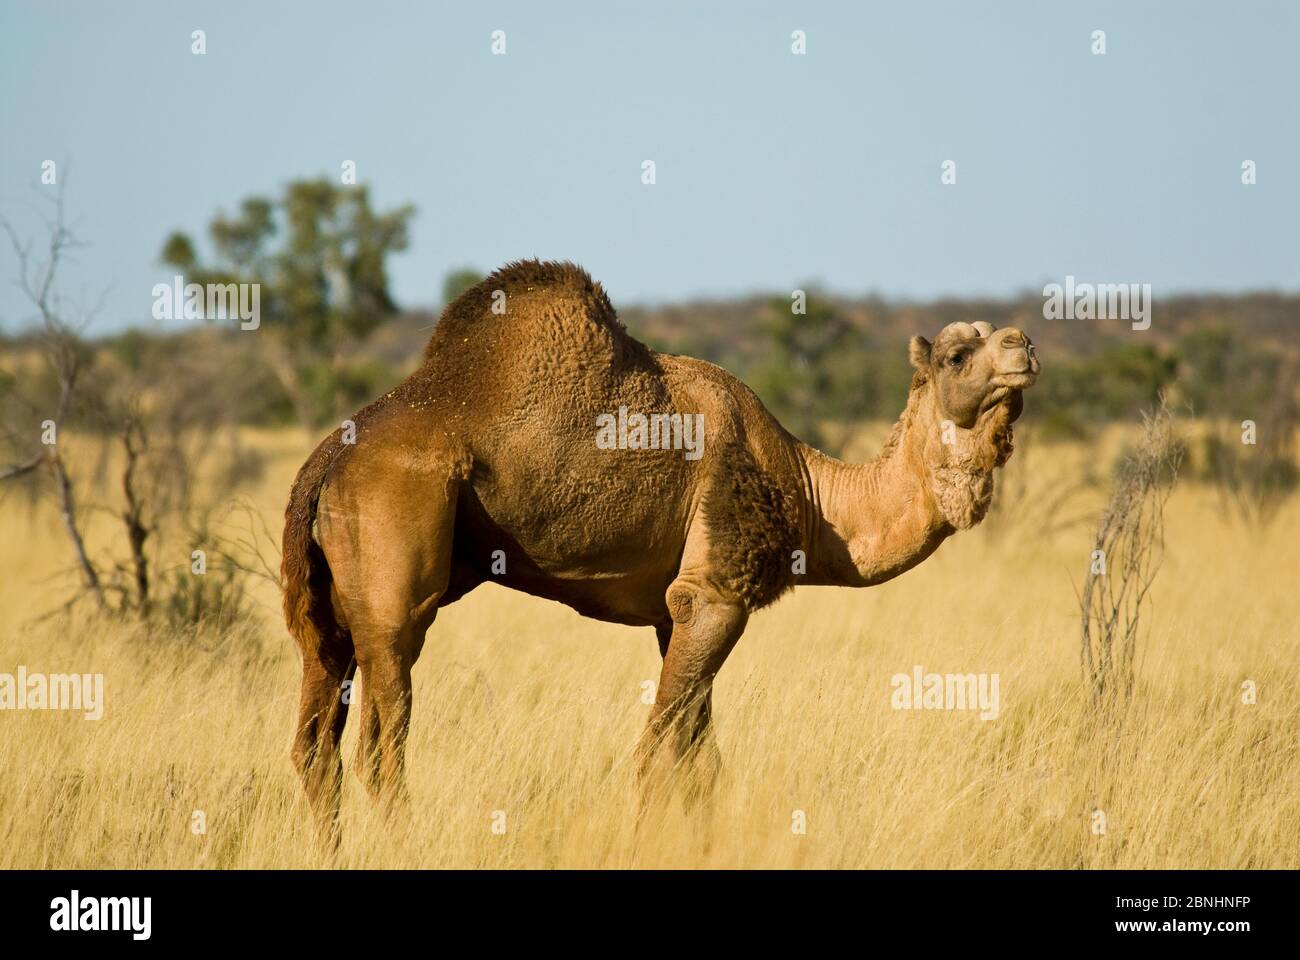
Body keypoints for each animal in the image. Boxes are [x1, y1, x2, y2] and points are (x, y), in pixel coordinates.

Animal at [282, 260, 1040, 844]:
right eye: (956, 356)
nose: (1025, 343)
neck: (811, 495)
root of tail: (324, 464)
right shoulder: (715, 595)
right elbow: (660, 752)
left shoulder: (670, 613)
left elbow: (701, 761)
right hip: (394, 591)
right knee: (382, 745)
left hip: (324, 622)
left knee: (316, 747)